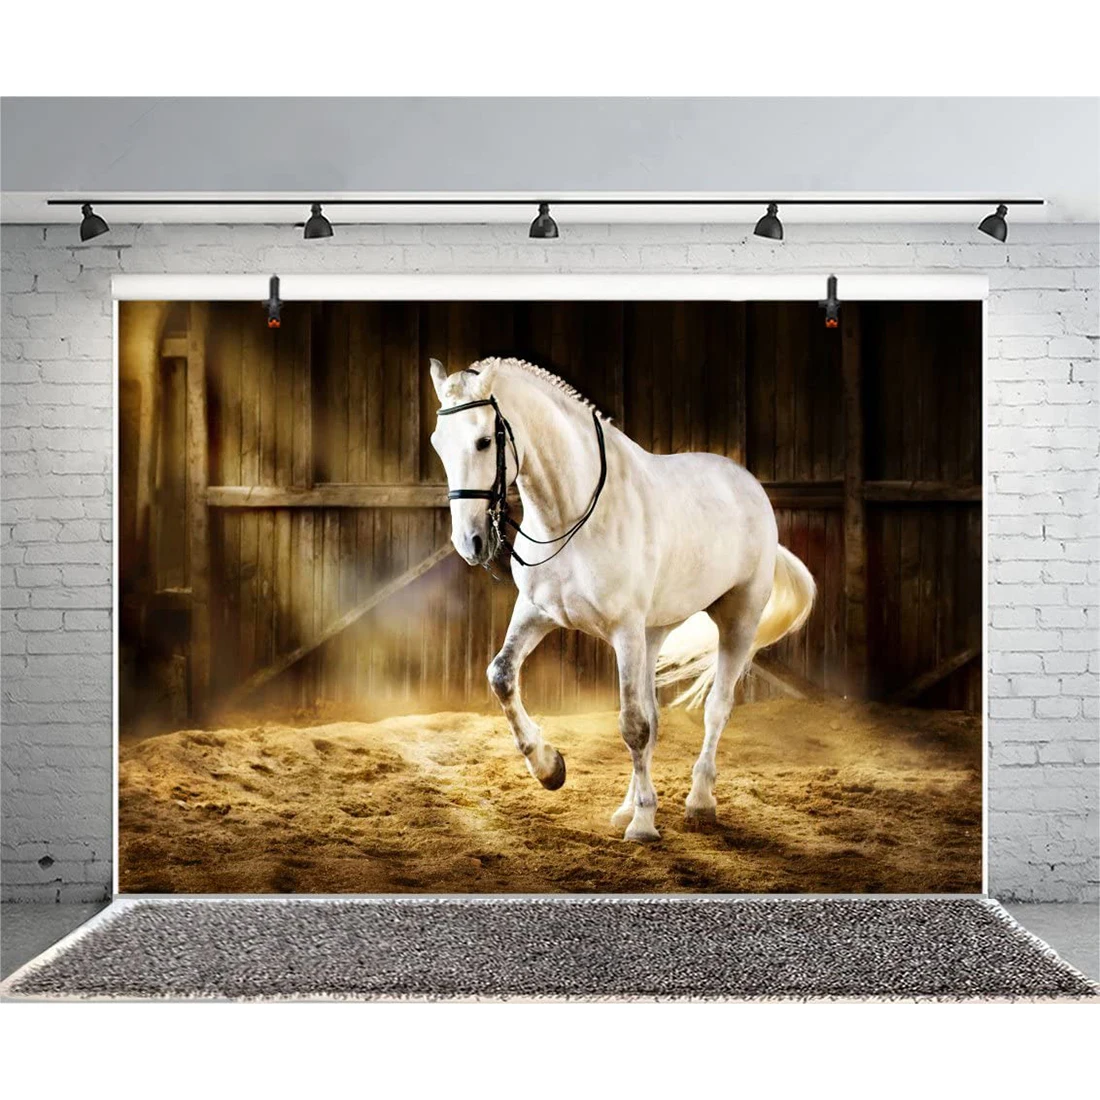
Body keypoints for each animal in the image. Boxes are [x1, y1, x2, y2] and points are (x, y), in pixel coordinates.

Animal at [428, 355, 816, 842]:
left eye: (483, 441)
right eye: (438, 444)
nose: (470, 543)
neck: (572, 517)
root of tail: (749, 484)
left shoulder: (624, 631)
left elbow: (633, 726)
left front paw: (645, 825)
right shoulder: (537, 613)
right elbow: (501, 676)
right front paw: (550, 769)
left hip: (736, 619)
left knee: (716, 709)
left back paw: (699, 801)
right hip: (654, 633)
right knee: (655, 714)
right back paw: (627, 806)